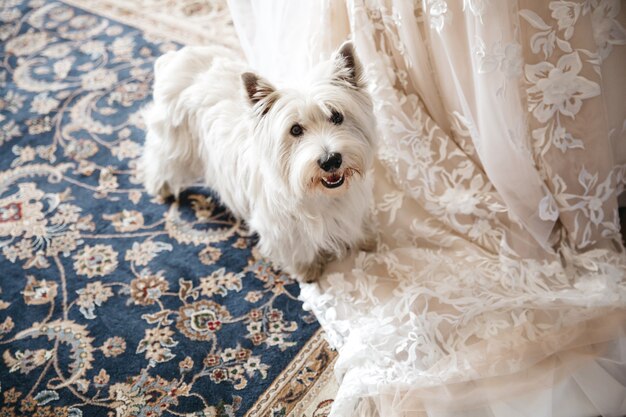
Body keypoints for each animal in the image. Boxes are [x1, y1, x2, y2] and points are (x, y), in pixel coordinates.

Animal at [140, 42, 376, 282]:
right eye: (295, 130)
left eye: (337, 116)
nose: (330, 160)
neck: (321, 195)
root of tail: (175, 57)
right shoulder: (282, 227)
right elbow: (298, 250)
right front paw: (307, 271)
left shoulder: (351, 206)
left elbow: (355, 225)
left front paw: (367, 240)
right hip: (173, 142)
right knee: (158, 161)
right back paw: (159, 187)